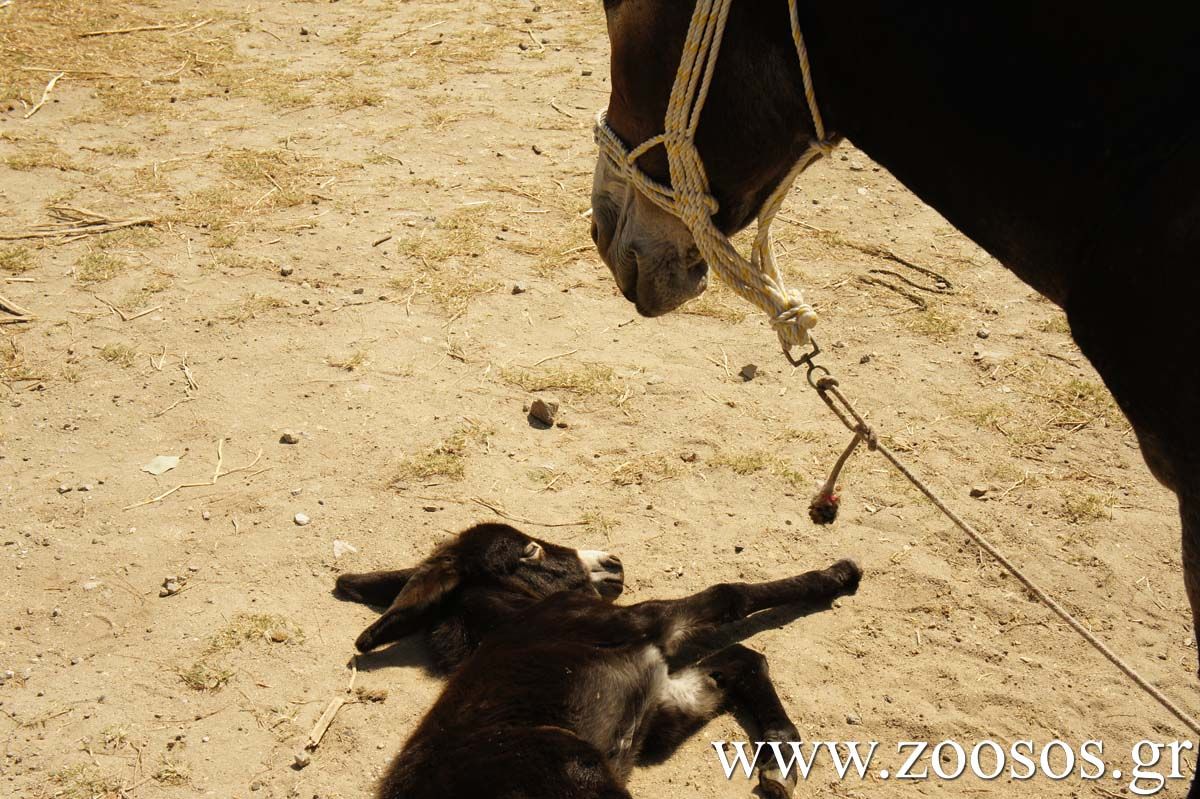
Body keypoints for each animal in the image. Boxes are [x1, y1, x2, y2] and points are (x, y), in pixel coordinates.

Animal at [336, 523, 864, 796]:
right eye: (529, 550)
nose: (614, 563)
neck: (517, 613)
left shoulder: (668, 701)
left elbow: (744, 660)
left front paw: (780, 756)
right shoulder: (643, 623)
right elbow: (731, 594)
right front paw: (837, 576)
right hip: (578, 771)